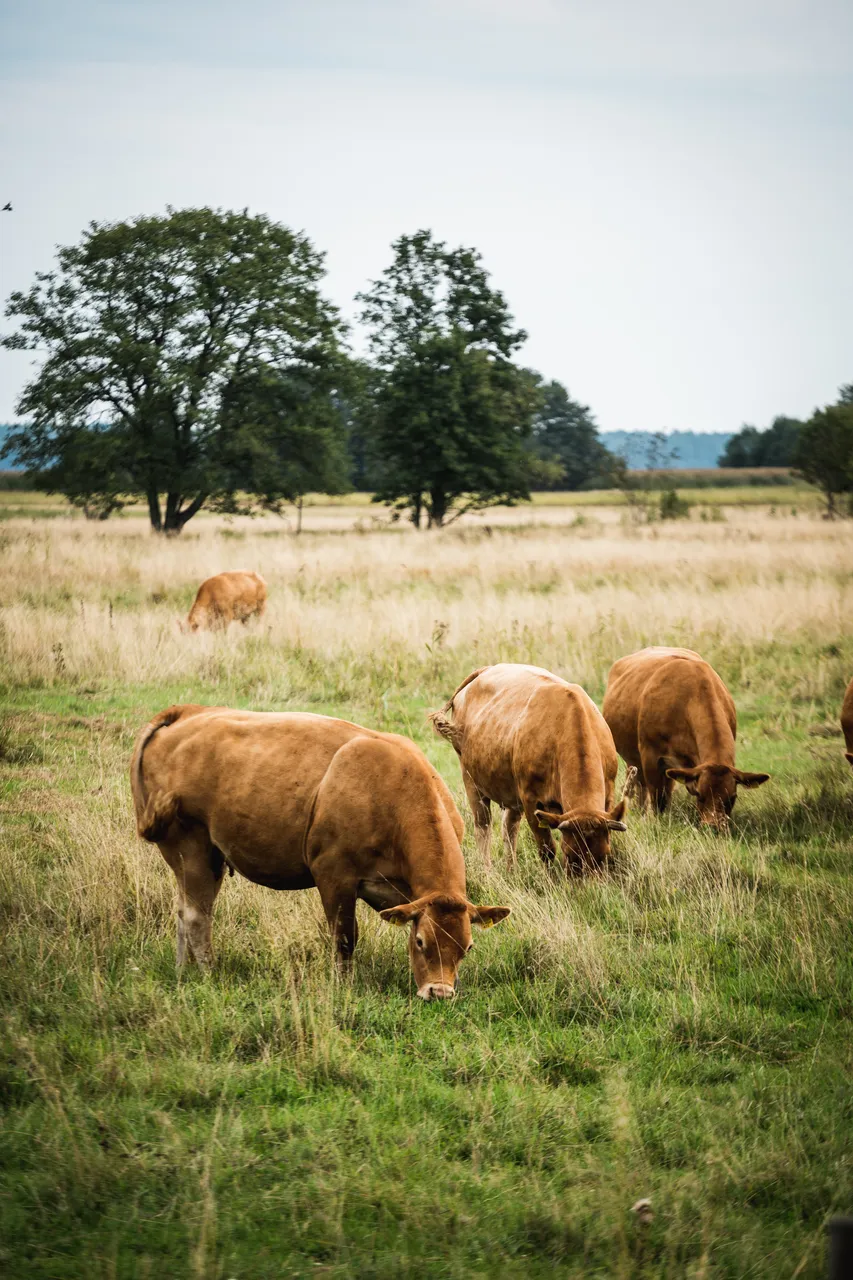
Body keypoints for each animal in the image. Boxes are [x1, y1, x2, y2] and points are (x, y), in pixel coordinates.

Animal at [130, 705, 509, 1000]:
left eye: (467, 947)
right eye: (420, 941)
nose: (439, 993)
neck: (391, 790)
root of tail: (188, 713)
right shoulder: (334, 877)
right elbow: (344, 937)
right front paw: (344, 986)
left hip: (206, 857)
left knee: (184, 911)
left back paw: (184, 972)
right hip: (188, 845)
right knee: (197, 915)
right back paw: (209, 974)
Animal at [430, 663, 631, 874]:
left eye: (606, 854)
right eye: (568, 854)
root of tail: (486, 669)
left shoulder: (608, 794)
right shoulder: (531, 799)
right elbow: (547, 848)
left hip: (510, 788)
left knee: (509, 827)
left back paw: (512, 869)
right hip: (470, 777)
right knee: (483, 825)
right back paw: (488, 871)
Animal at [602, 646, 770, 829]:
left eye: (732, 798)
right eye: (700, 795)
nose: (713, 826)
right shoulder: (650, 755)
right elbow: (657, 799)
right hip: (634, 759)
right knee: (639, 786)